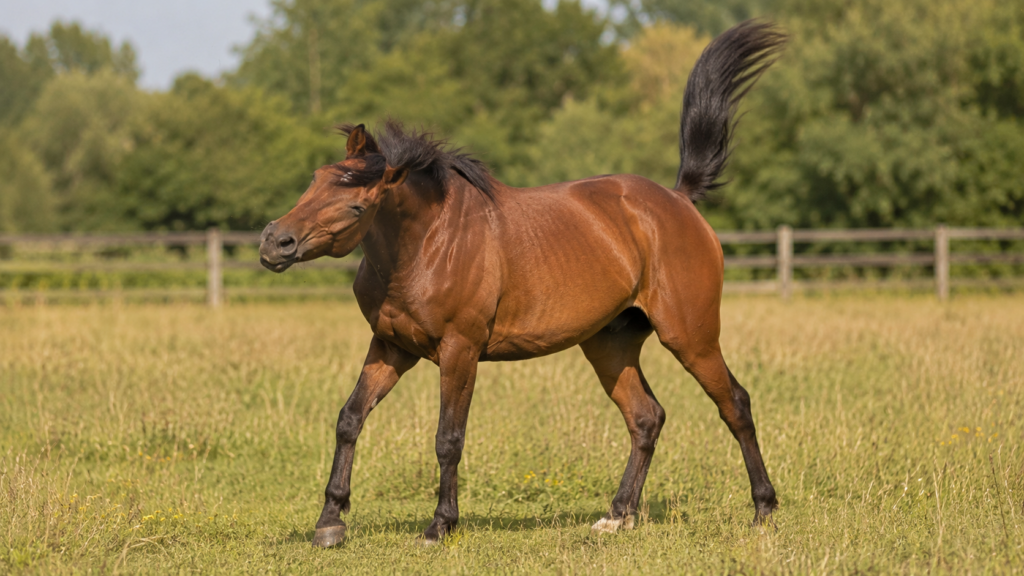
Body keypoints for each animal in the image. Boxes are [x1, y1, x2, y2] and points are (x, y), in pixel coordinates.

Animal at [260, 20, 785, 547]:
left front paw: (440, 525)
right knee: (645, 417)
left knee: (735, 404)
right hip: (610, 345)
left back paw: (763, 510)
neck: (429, 244)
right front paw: (330, 522)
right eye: (315, 179)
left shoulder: (460, 350)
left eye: (356, 205)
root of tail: (678, 202)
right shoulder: (391, 346)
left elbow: (448, 438)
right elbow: (349, 419)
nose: (275, 242)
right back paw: (618, 515)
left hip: (691, 337)